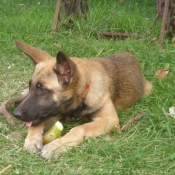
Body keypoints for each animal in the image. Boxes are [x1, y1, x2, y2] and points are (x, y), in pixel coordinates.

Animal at [12, 40, 152, 159]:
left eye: (43, 90)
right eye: (31, 86)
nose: (15, 114)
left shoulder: (109, 120)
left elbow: (80, 128)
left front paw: (57, 145)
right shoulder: (54, 113)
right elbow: (36, 123)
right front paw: (32, 139)